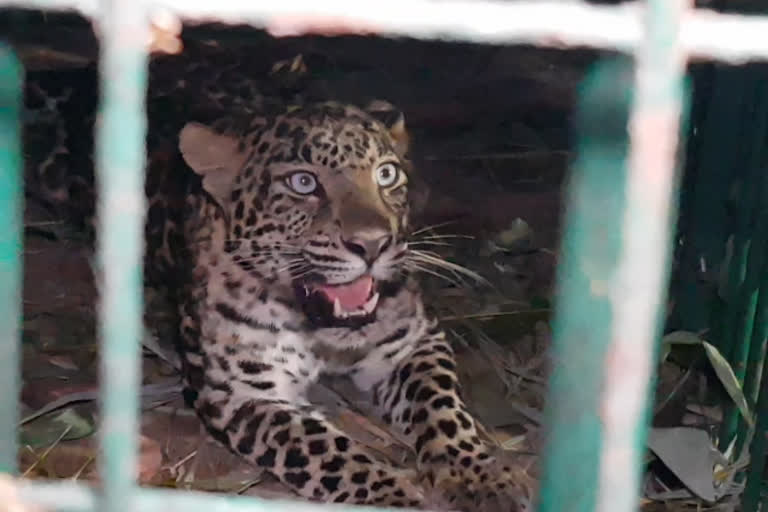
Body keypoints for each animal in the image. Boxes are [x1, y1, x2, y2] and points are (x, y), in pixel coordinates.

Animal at [19, 40, 536, 512]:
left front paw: (482, 479)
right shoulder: (240, 394)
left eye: (387, 175)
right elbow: (329, 451)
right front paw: (397, 498)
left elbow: (442, 409)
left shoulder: (412, 343)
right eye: (303, 183)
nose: (372, 244)